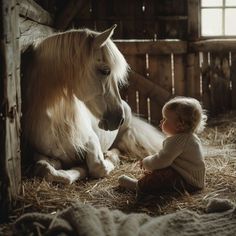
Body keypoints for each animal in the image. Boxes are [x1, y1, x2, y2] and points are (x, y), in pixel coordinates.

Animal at [23, 25, 165, 184]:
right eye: (105, 71)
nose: (118, 119)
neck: (56, 122)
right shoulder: (37, 152)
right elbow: (45, 168)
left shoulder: (91, 140)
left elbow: (97, 167)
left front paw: (105, 160)